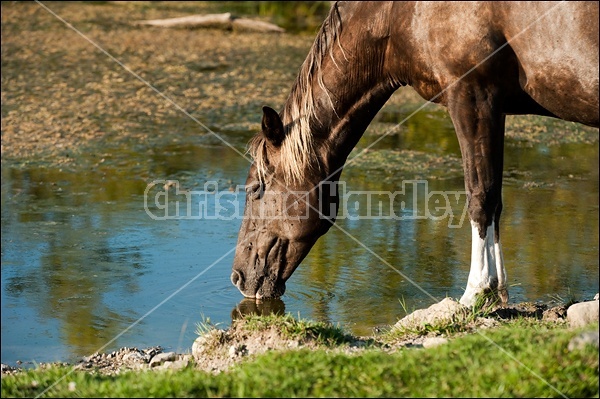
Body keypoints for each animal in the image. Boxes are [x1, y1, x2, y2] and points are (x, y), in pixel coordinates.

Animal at [229, 1, 596, 306]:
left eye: (255, 188)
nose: (237, 277)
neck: (397, 13)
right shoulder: (495, 109)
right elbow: (495, 199)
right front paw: (497, 290)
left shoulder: (473, 97)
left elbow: (480, 196)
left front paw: (477, 292)